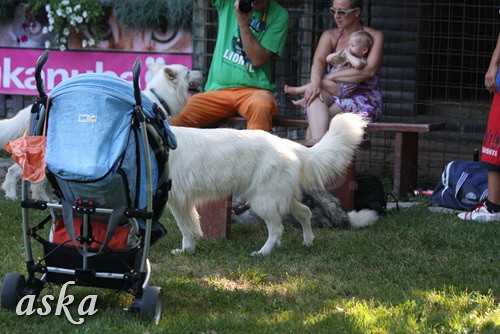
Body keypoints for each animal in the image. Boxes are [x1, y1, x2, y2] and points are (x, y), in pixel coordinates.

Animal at [0, 62, 376, 256]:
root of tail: (290, 145)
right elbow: (175, 225)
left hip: (264, 200)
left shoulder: (174, 199)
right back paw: (309, 242)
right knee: (304, 214)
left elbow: (182, 226)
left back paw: (265, 253)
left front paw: (184, 249)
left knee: (279, 228)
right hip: (275, 197)